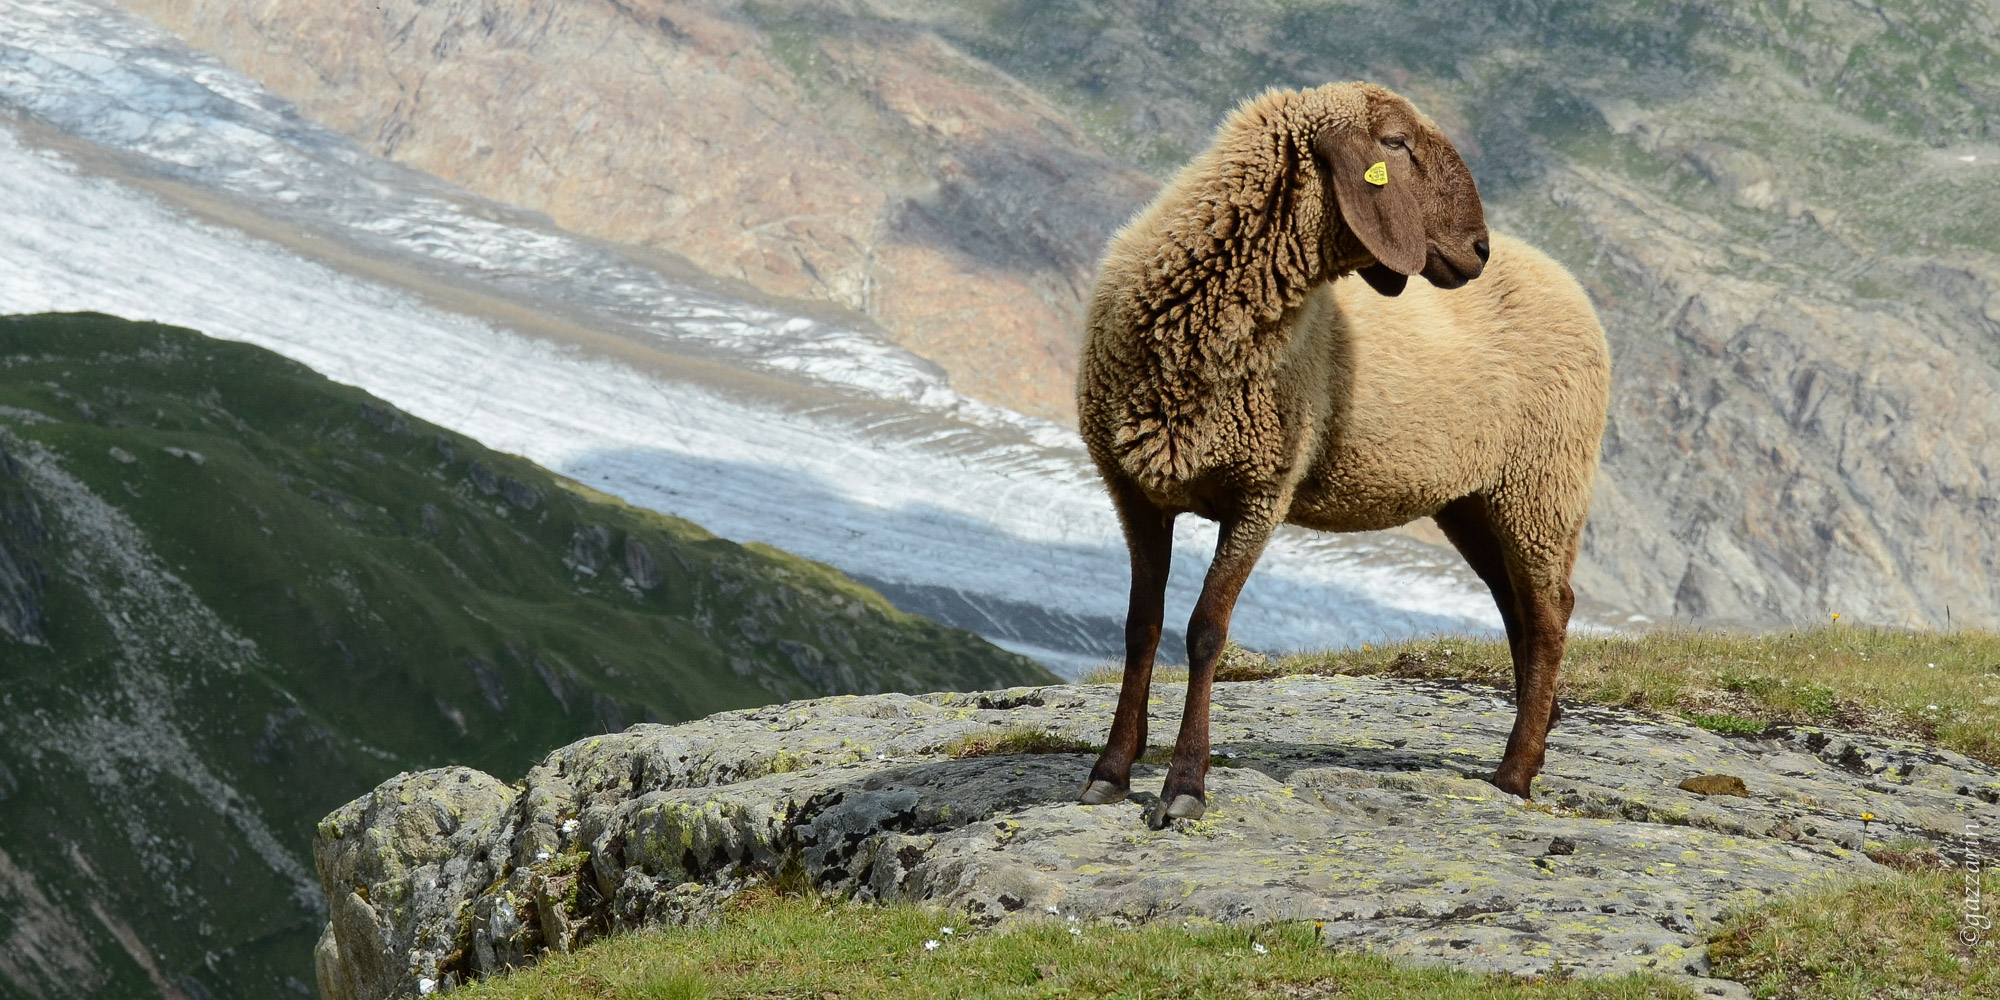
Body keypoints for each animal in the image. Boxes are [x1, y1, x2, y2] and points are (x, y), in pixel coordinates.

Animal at [1080, 80, 1608, 828]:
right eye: (1395, 144)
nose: (1477, 247)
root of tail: (1564, 278)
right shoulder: (1135, 489)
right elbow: (1140, 628)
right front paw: (1111, 771)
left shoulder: (1261, 491)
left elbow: (1206, 631)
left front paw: (1184, 786)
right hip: (1476, 500)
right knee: (1520, 609)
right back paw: (1532, 742)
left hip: (1543, 485)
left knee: (1551, 611)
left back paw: (1515, 772)